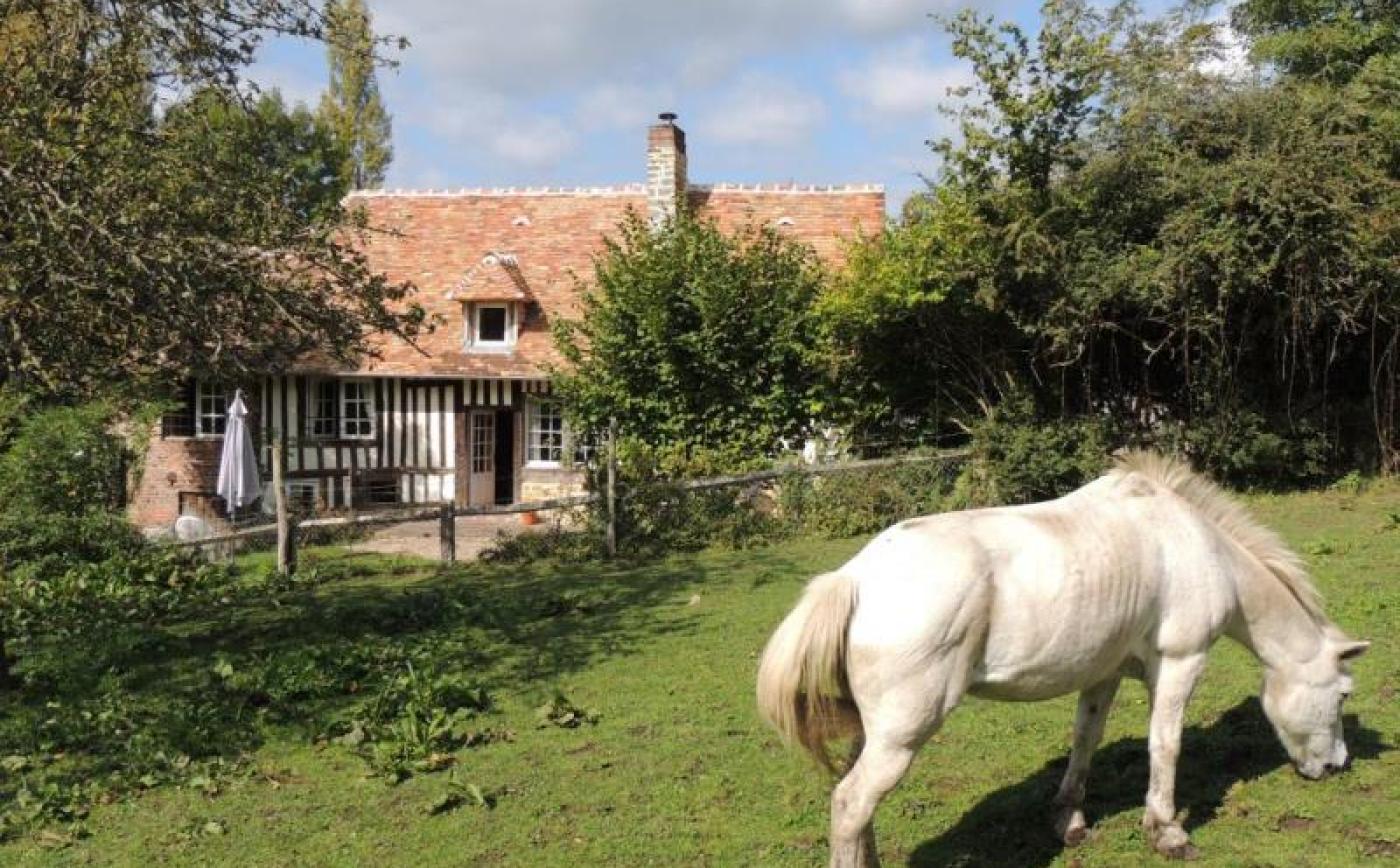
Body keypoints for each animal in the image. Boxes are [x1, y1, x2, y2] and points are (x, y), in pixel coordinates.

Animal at [756, 453, 1366, 868]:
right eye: (1341, 695)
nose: (1336, 765)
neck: (1195, 544)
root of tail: (853, 579)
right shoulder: (1181, 662)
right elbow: (1165, 745)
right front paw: (1167, 832)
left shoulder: (1102, 674)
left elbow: (1084, 742)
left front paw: (1068, 822)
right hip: (901, 737)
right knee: (850, 803)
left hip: (873, 733)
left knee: (856, 807)